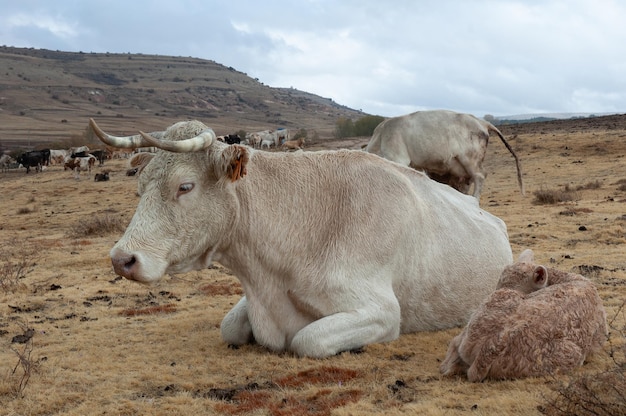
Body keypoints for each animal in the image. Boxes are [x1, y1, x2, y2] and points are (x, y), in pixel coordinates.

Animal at [89, 118, 512, 360]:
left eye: (185, 186)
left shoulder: (382, 311)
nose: (122, 259)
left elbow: (308, 340)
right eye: (140, 186)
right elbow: (230, 327)